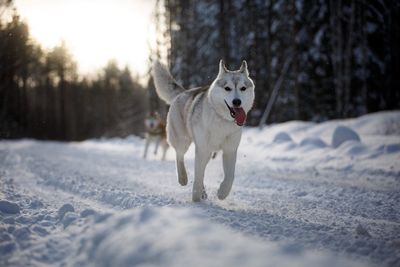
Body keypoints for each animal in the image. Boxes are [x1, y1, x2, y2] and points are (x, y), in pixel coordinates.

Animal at [152, 60, 255, 202]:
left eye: (243, 88)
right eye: (227, 88)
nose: (237, 102)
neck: (221, 120)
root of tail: (183, 92)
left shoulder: (230, 150)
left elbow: (230, 177)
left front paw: (222, 193)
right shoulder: (202, 150)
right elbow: (198, 176)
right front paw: (196, 198)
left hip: (207, 153)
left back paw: (203, 192)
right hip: (184, 141)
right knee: (179, 156)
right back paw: (183, 178)